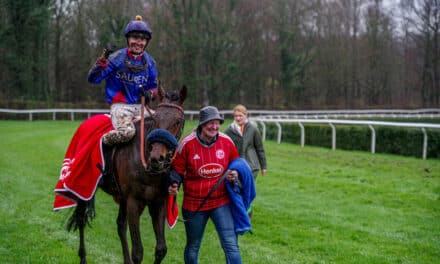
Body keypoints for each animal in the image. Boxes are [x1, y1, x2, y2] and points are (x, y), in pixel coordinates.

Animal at [67, 85, 186, 262]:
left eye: (177, 121)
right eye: (156, 119)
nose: (156, 158)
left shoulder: (158, 201)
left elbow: (161, 249)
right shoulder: (133, 202)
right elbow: (138, 252)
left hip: (121, 196)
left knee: (120, 225)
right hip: (84, 185)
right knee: (81, 218)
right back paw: (82, 257)